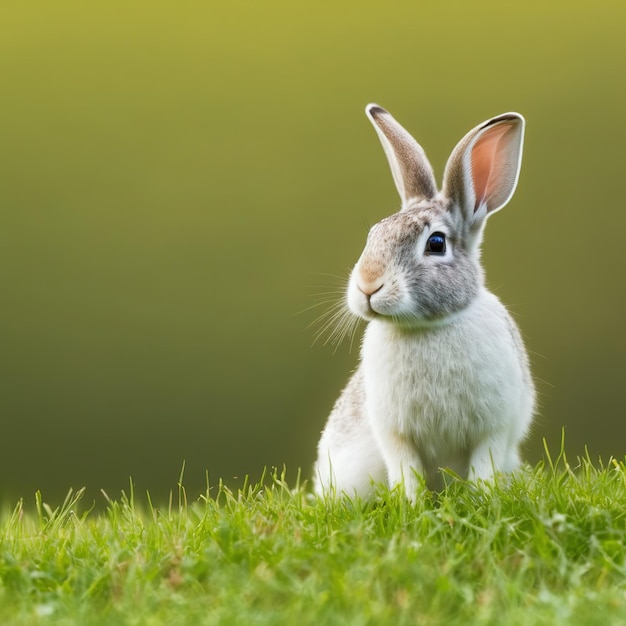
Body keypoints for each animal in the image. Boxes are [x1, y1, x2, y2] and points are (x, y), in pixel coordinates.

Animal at [314, 105, 532, 500]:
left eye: (436, 243)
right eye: (374, 234)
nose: (367, 285)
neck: (426, 328)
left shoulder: (493, 429)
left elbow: (483, 466)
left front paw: (482, 499)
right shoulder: (396, 435)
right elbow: (407, 471)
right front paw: (412, 505)